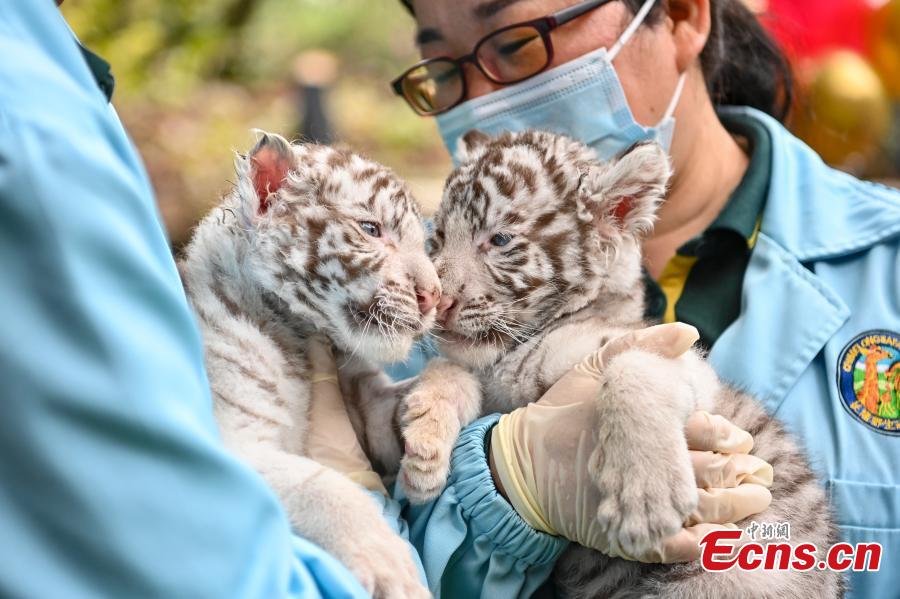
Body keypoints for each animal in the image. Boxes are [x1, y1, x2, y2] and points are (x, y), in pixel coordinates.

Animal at [178, 132, 434, 599]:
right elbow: (324, 485)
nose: (436, 297)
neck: (299, 330)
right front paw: (393, 568)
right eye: (371, 230)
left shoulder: (370, 408)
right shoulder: (235, 443)